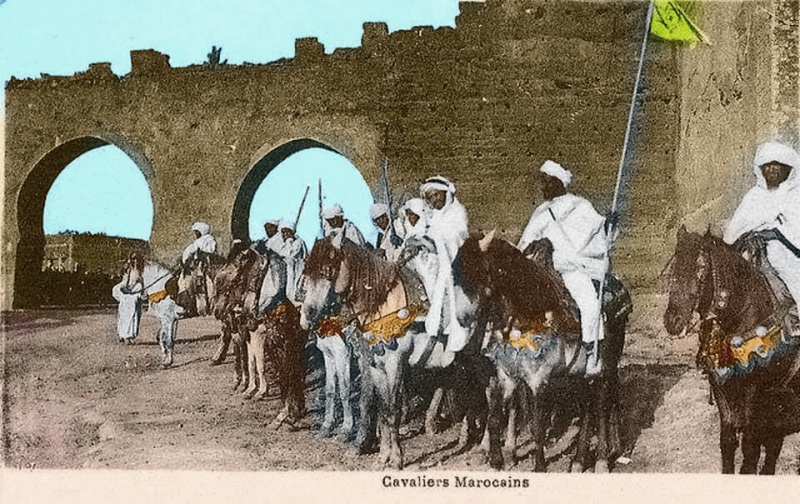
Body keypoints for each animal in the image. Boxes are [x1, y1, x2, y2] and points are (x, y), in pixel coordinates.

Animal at [454, 232, 631, 472]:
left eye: (476, 271)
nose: (460, 319)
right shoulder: (505, 376)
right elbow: (495, 419)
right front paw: (496, 462)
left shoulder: (538, 379)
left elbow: (537, 426)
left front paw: (539, 466)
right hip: (582, 373)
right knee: (589, 408)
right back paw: (579, 460)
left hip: (605, 366)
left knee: (602, 404)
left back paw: (602, 459)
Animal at [663, 226, 800, 474]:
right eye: (675, 267)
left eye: (701, 268)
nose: (673, 320)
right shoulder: (721, 388)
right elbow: (728, 442)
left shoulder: (754, 392)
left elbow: (749, 449)